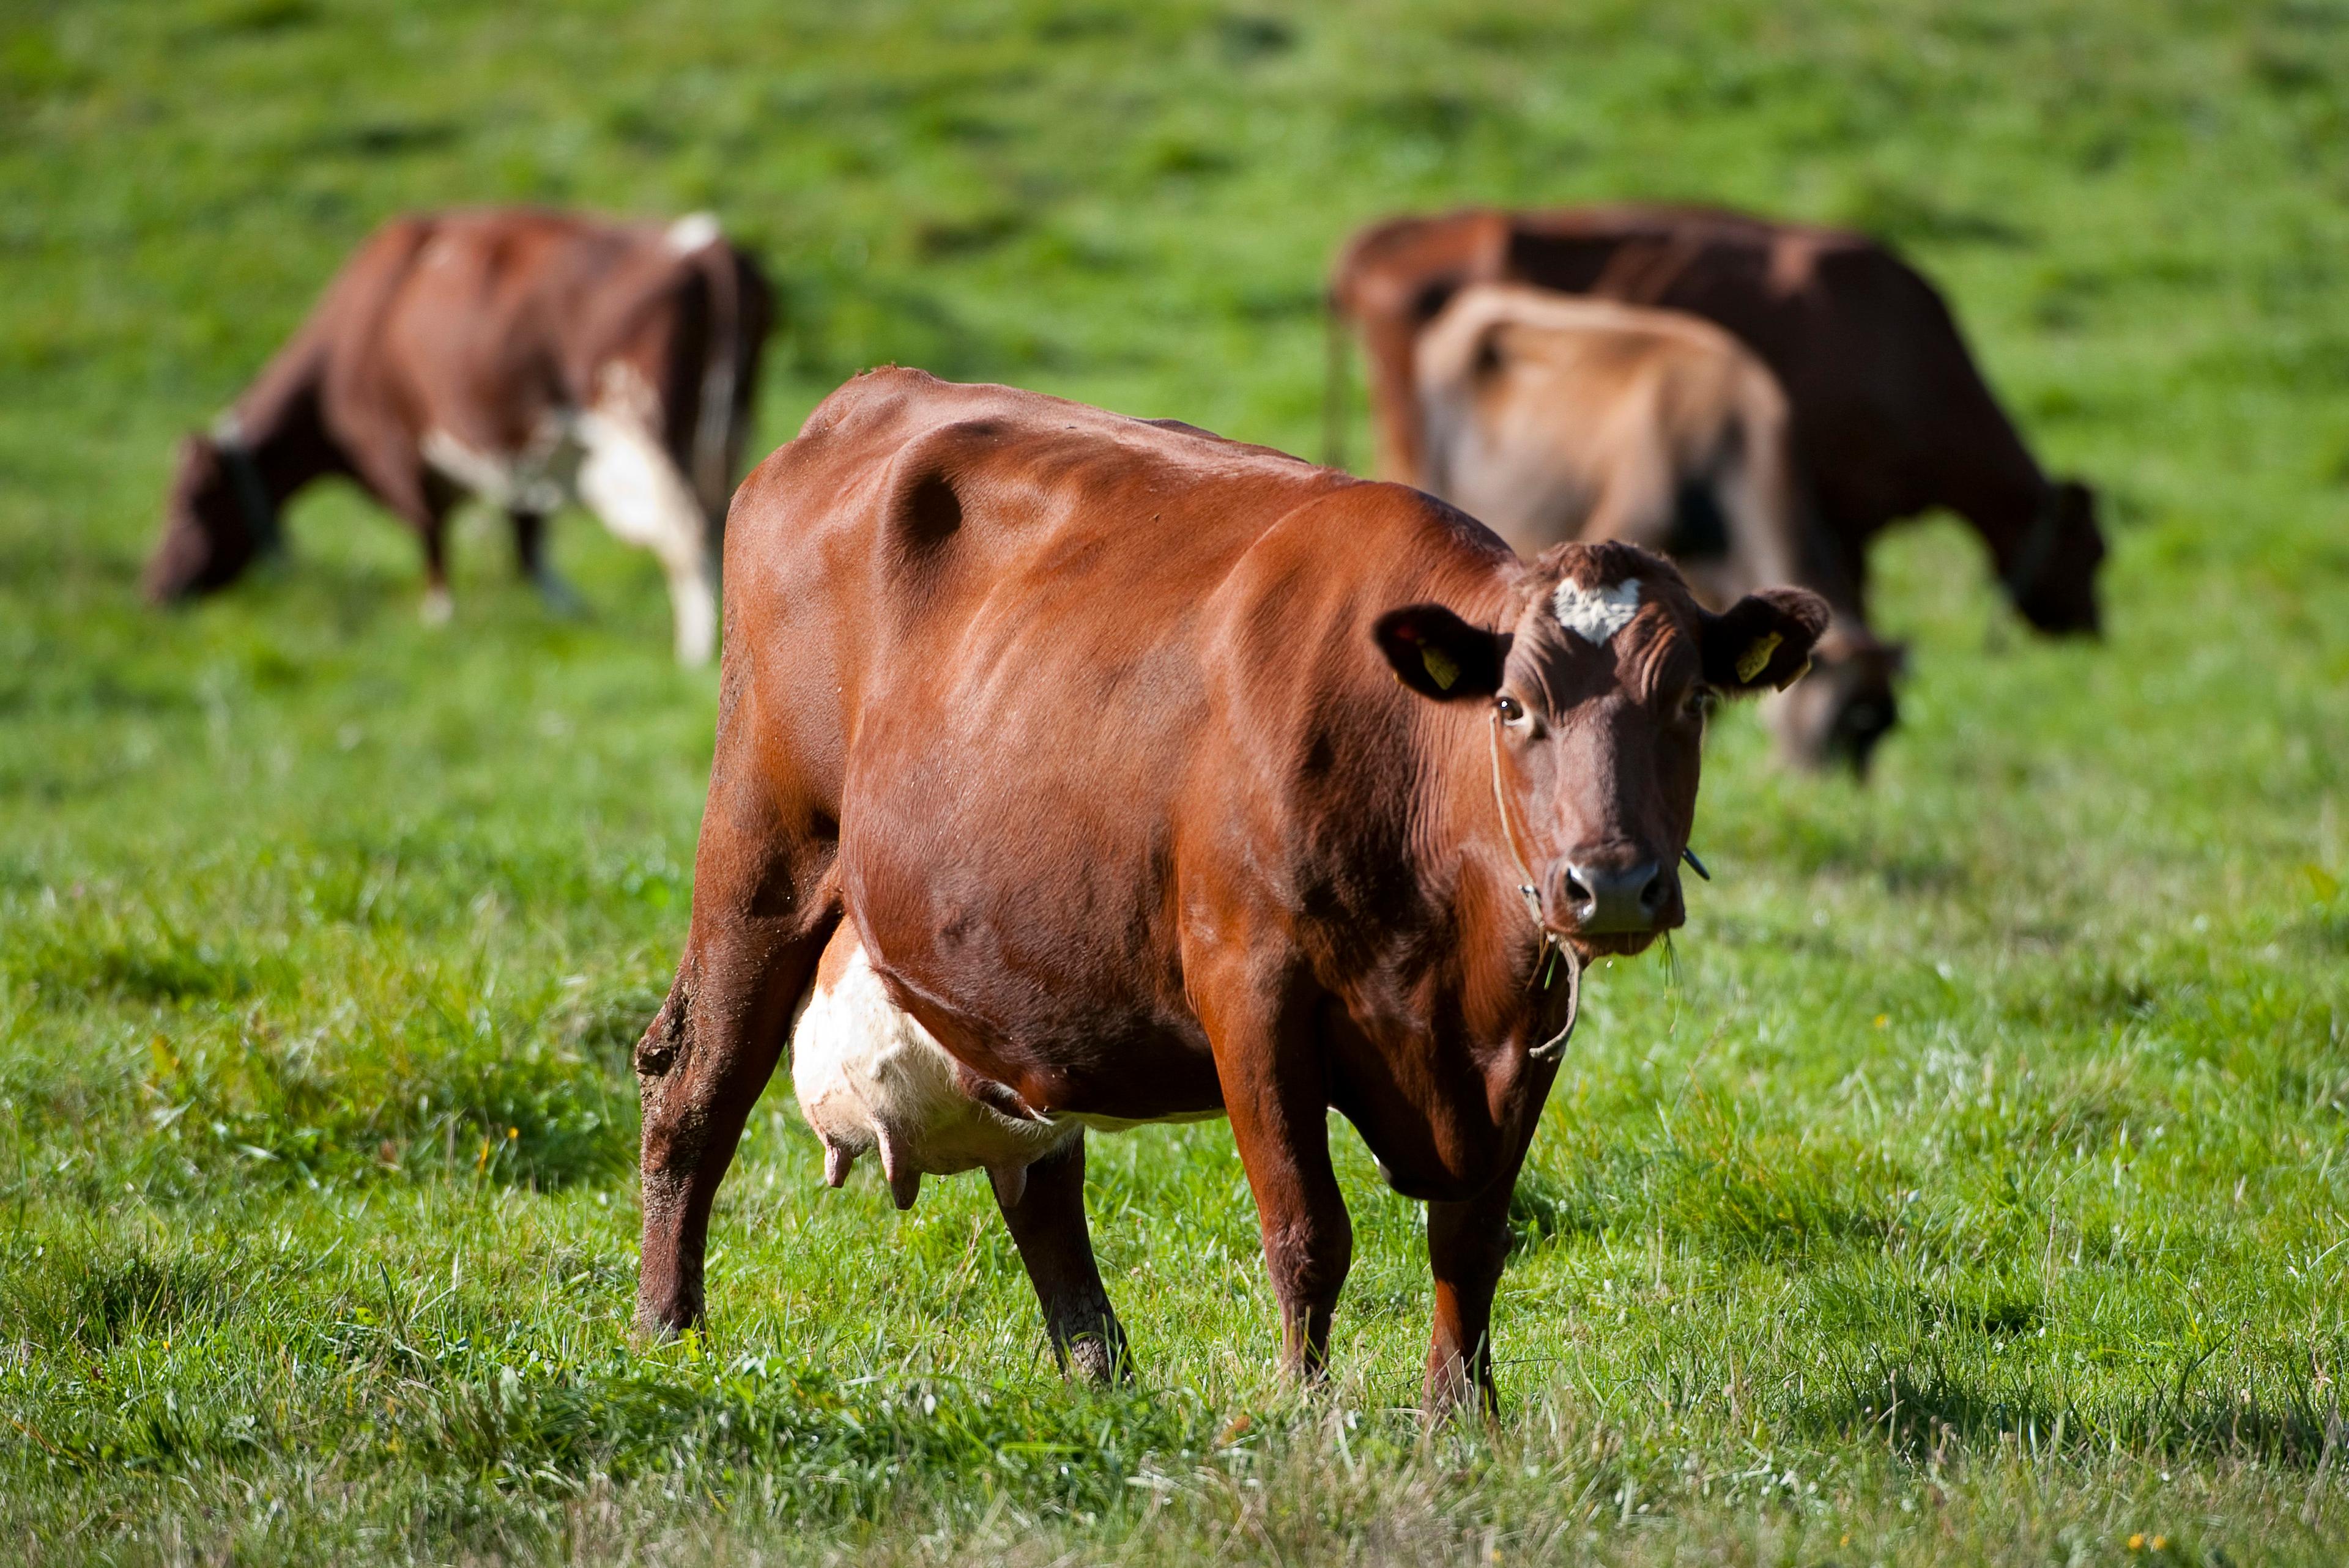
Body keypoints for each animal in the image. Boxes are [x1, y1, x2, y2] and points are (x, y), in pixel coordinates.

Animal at [142, 206, 775, 662]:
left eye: (187, 507)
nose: (152, 591)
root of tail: (708, 242)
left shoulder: (396, 449)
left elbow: (429, 532)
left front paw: (439, 618)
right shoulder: (522, 452)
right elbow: (526, 539)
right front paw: (569, 611)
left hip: (640, 434)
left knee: (684, 534)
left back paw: (693, 649)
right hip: (722, 434)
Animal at [634, 368, 1822, 1408]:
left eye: (1691, 703)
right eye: (1514, 707)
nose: (1610, 883)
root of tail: (866, 397)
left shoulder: (1523, 1027)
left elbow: (1474, 1235)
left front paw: (1461, 1420)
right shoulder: (1251, 987)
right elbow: (1309, 1231)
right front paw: (1304, 1412)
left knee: (1043, 1178)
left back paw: (1101, 1373)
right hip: (765, 849)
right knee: (695, 1085)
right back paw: (666, 1334)